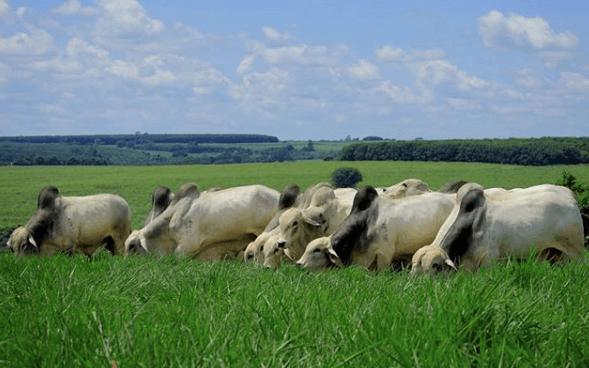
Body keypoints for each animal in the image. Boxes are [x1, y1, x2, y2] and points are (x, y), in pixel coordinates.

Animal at [408, 183, 584, 274]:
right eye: (415, 268)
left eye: (436, 266)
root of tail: (570, 196)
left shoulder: (489, 260)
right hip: (553, 254)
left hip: (575, 252)